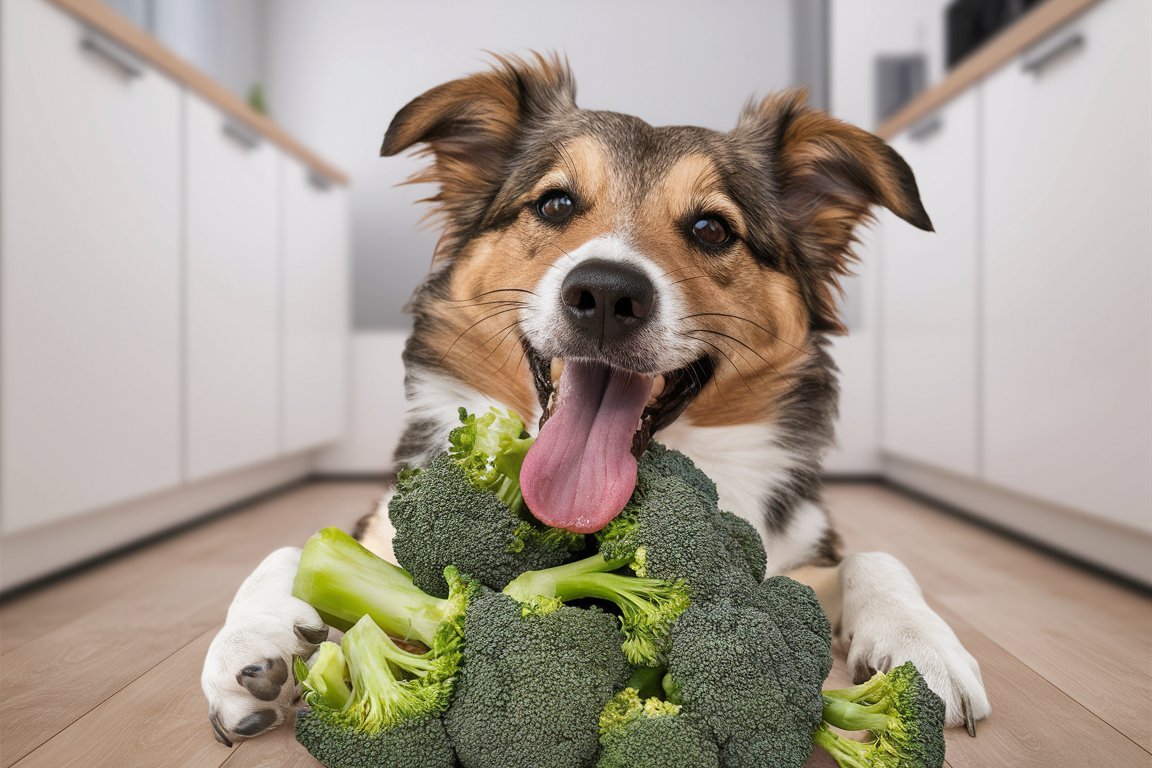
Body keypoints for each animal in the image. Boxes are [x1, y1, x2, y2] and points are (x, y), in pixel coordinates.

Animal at [200, 55, 990, 750]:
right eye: (555, 203)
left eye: (712, 228)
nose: (607, 294)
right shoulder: (384, 516)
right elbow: (296, 544)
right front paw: (252, 642)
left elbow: (877, 557)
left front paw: (923, 646)